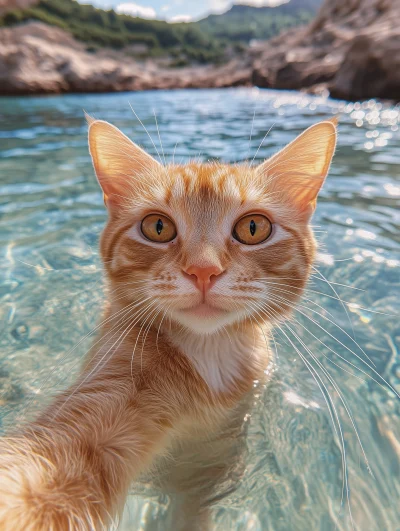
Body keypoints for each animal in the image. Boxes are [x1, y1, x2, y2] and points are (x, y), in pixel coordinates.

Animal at [0, 117, 338, 531]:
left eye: (254, 228)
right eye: (157, 227)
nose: (204, 270)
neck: (210, 355)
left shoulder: (216, 461)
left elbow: (191, 507)